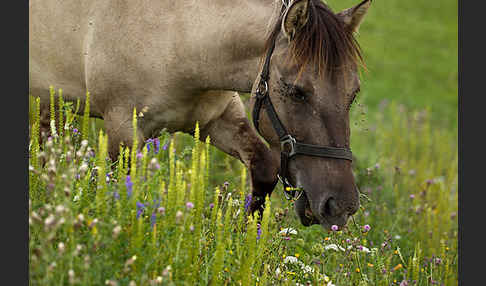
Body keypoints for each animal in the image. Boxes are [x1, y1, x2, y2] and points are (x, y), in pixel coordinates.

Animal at [29, 0, 372, 229]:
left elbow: (264, 166)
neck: (177, 34)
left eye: (353, 93)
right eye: (297, 91)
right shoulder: (123, 129)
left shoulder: (216, 120)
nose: (340, 206)